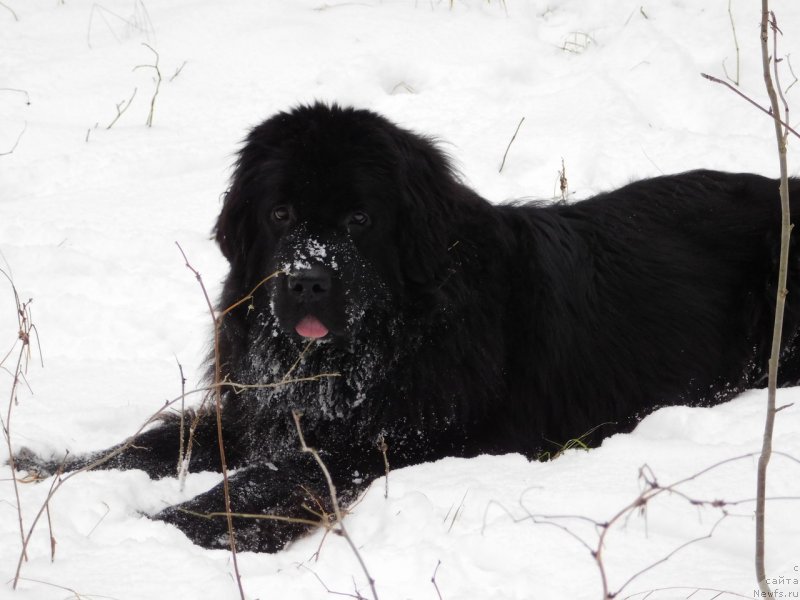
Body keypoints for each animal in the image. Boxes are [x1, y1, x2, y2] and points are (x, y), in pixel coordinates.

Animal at [15, 101, 800, 552]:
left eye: (361, 220)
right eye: (280, 214)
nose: (307, 278)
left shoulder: (393, 439)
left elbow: (269, 480)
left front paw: (157, 531)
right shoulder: (263, 412)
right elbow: (153, 440)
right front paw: (49, 469)